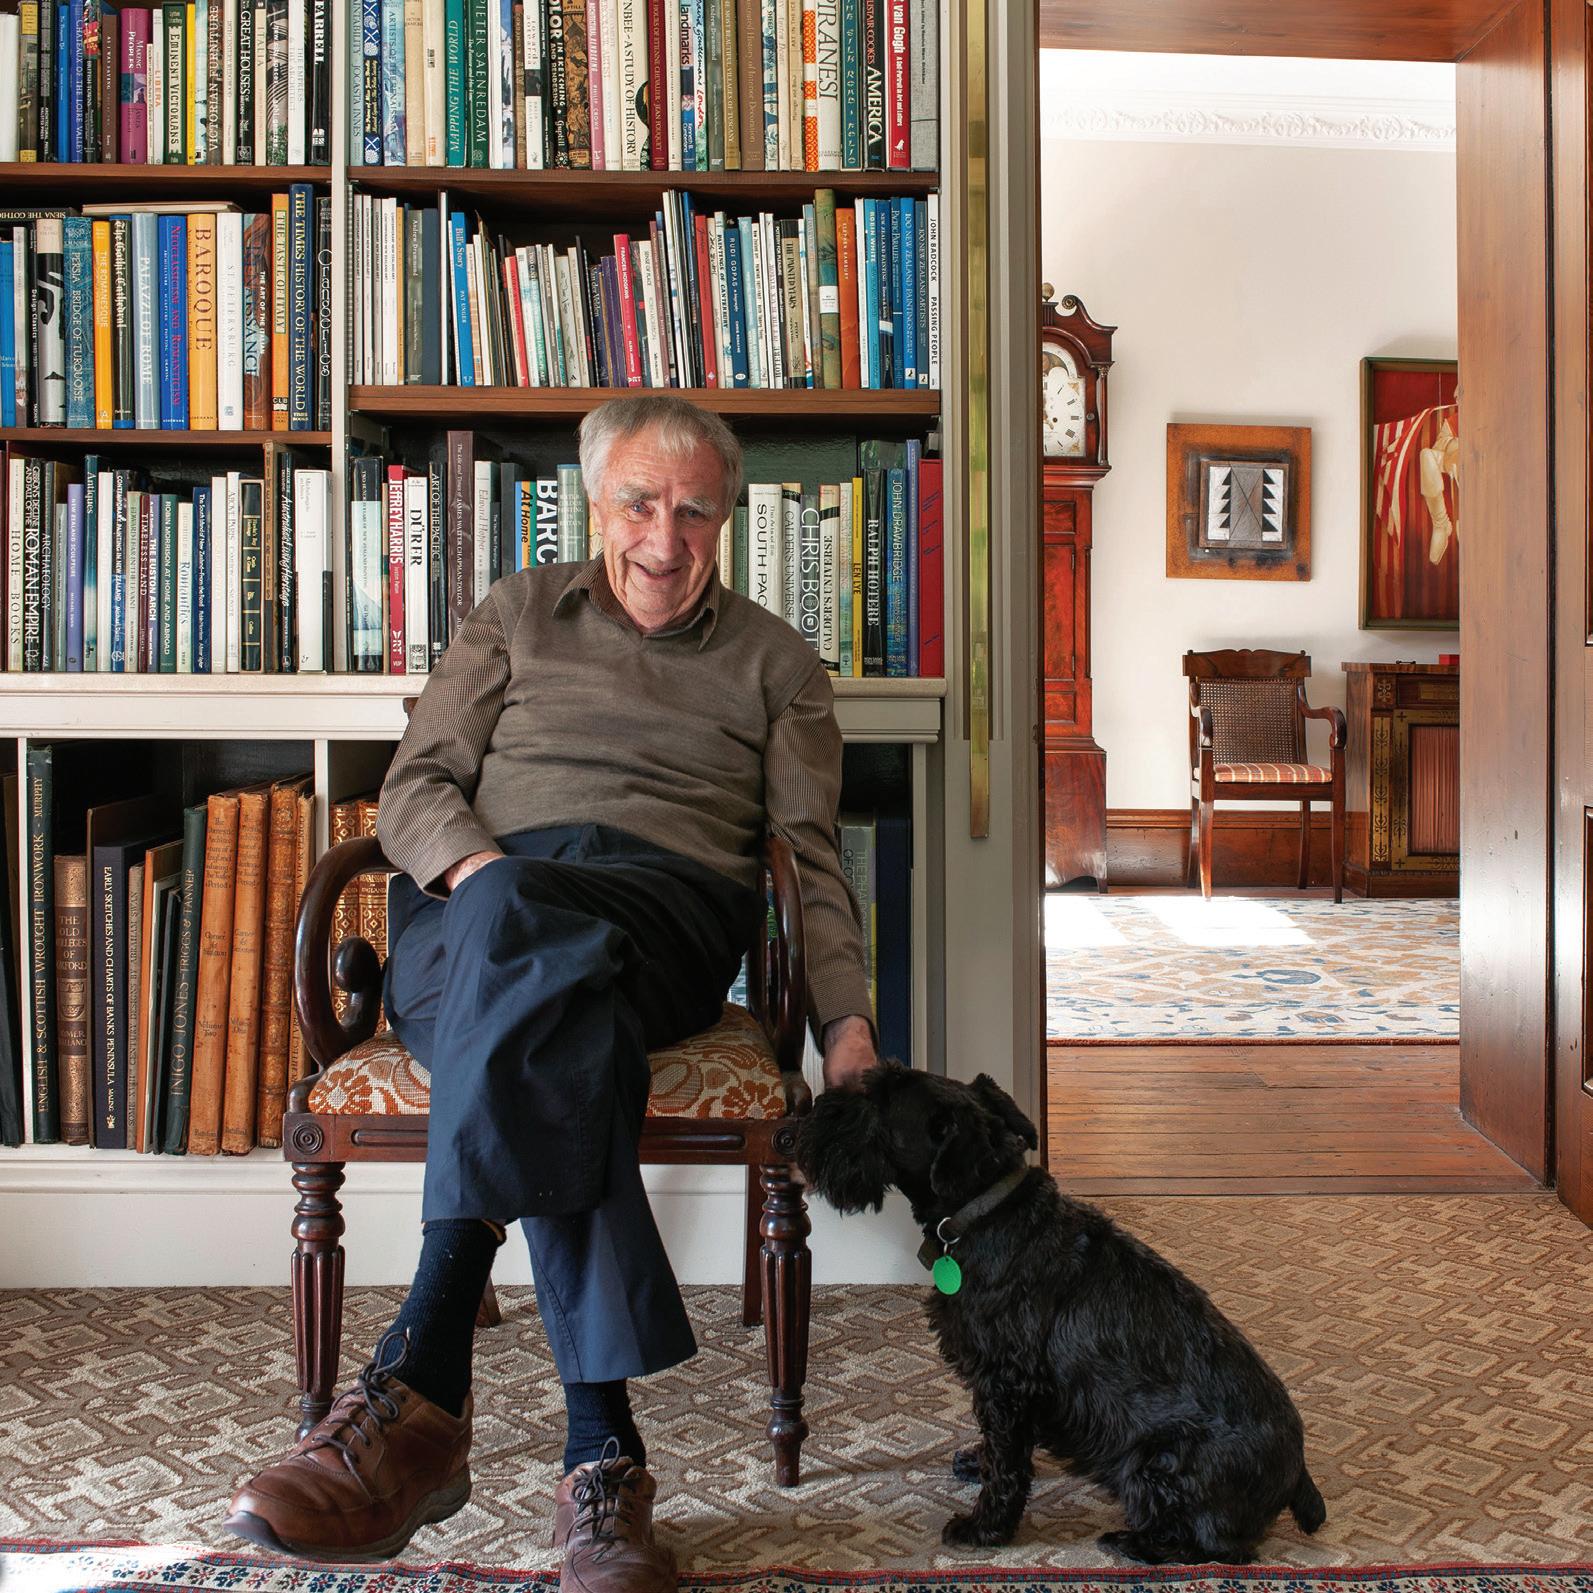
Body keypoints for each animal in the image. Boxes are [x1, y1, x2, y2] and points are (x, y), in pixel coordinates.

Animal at [797, 1066, 1326, 1562]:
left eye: (878, 1101)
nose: (803, 1119)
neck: (984, 1211)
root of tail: (1298, 1475)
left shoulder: (1007, 1384)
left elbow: (1008, 1465)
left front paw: (985, 1529)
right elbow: (997, 1450)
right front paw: (977, 1466)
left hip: (1154, 1461)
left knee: (1215, 1546)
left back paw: (1132, 1542)